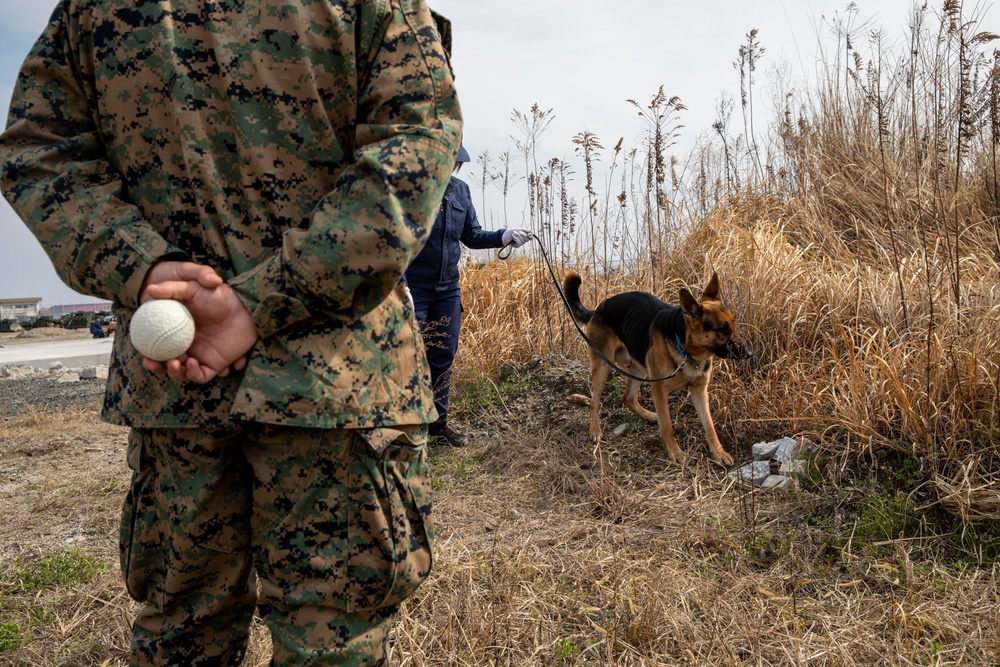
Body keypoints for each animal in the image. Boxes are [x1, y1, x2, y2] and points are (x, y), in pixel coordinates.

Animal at [568, 272, 748, 464]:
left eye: (733, 323)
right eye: (722, 329)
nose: (750, 353)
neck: (685, 349)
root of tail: (598, 308)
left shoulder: (699, 392)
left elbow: (710, 427)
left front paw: (719, 453)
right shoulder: (659, 389)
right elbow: (667, 426)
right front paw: (675, 453)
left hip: (640, 368)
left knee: (627, 397)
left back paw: (648, 415)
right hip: (603, 366)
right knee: (594, 401)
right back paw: (595, 430)